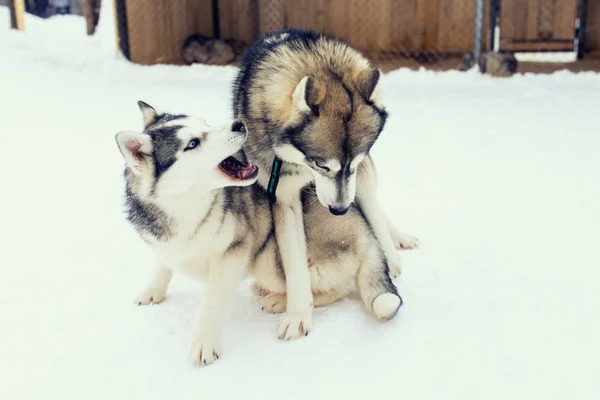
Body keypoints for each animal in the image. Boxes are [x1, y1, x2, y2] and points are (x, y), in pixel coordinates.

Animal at [113, 102, 404, 366]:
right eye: (193, 143)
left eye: (205, 123)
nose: (238, 124)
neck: (187, 208)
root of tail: (368, 235)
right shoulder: (164, 243)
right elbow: (162, 265)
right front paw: (153, 291)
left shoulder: (232, 253)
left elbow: (212, 302)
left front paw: (205, 343)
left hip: (271, 257)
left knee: (333, 290)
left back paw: (280, 301)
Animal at [232, 28, 420, 340]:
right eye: (321, 165)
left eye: (353, 163)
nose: (340, 211)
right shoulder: (283, 195)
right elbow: (295, 265)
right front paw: (297, 314)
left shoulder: (360, 173)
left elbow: (373, 219)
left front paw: (389, 260)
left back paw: (397, 240)